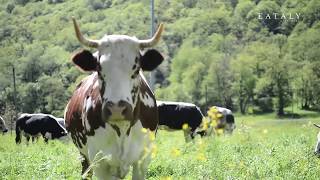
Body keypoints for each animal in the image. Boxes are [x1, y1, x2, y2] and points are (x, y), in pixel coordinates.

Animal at [65, 17, 165, 179]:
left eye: (136, 69)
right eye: (99, 69)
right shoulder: (99, 162)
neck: (122, 130)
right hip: (84, 156)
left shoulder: (143, 160)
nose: (117, 109)